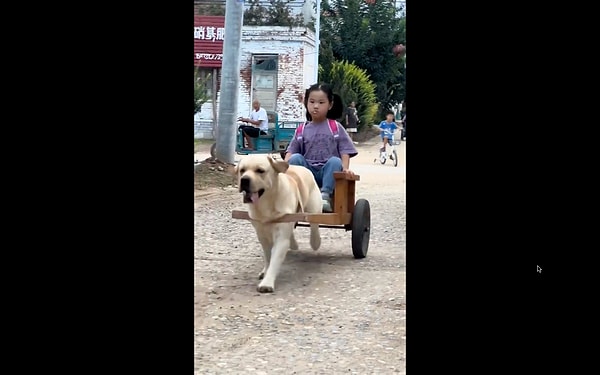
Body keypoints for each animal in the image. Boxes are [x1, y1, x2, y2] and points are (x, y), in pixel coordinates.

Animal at [236, 156, 324, 294]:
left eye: (260, 170)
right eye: (242, 170)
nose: (244, 180)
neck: (265, 205)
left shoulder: (281, 238)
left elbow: (275, 259)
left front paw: (267, 283)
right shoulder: (262, 235)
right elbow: (268, 257)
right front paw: (265, 271)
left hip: (313, 209)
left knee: (314, 227)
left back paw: (315, 242)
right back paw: (294, 244)